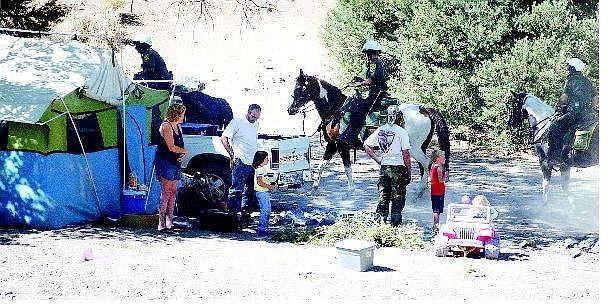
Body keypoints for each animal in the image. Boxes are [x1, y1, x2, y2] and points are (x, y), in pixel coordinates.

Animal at [288, 69, 448, 195]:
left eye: (298, 89)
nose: (290, 109)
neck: (335, 110)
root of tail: (424, 109)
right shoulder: (332, 145)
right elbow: (321, 166)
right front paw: (314, 188)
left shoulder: (342, 145)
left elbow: (347, 168)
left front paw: (351, 190)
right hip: (421, 146)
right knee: (423, 166)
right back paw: (423, 188)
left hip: (414, 147)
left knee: (426, 163)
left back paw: (420, 190)